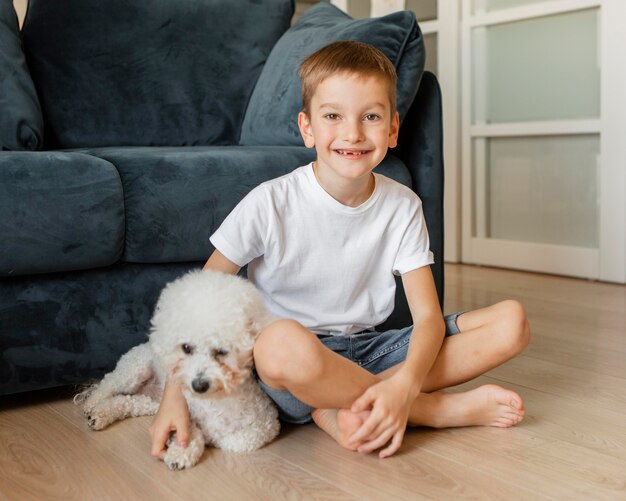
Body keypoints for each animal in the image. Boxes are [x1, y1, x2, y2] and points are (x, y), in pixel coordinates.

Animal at [73, 270, 278, 468]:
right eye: (186, 347)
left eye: (221, 351)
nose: (198, 385)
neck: (215, 401)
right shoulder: (179, 412)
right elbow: (189, 429)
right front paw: (182, 451)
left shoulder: (265, 425)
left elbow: (234, 441)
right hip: (133, 371)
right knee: (106, 385)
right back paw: (92, 406)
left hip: (155, 402)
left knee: (132, 402)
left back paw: (100, 414)